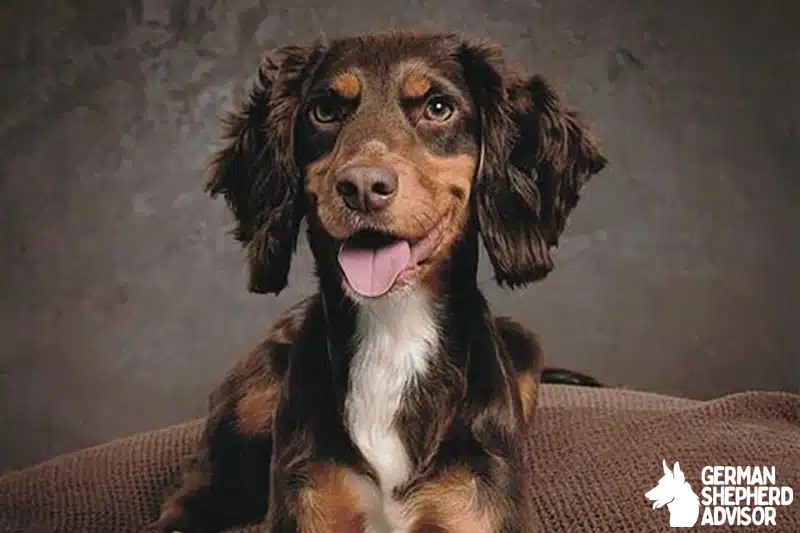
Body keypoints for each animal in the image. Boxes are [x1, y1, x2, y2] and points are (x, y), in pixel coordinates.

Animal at [145, 31, 608, 528]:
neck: (393, 327)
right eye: (325, 111)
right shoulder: (307, 496)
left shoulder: (477, 502)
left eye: (439, 107)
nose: (363, 187)